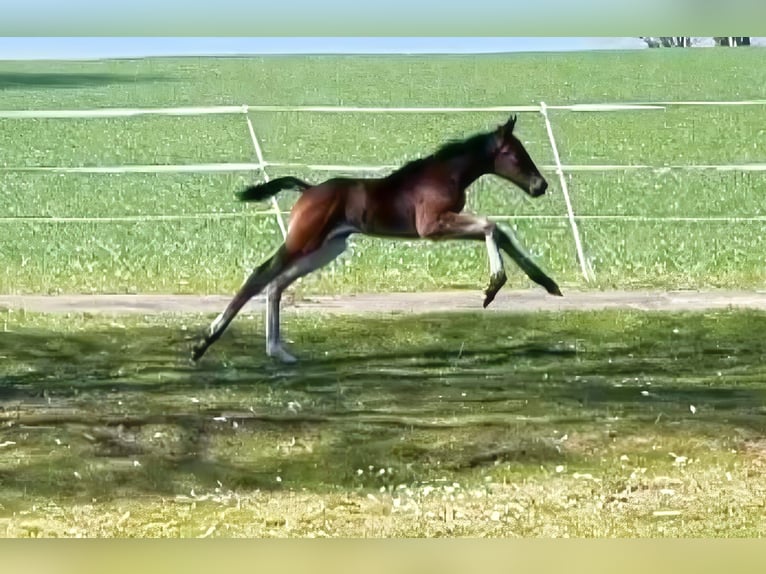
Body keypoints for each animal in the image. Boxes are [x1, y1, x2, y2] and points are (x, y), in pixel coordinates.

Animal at [190, 114, 562, 364]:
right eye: (514, 154)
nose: (539, 185)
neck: (445, 174)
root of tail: (308, 190)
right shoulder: (431, 227)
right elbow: (490, 226)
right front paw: (493, 287)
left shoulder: (444, 226)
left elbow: (501, 232)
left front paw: (548, 283)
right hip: (303, 241)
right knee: (259, 275)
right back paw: (204, 343)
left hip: (327, 248)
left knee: (276, 284)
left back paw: (279, 352)